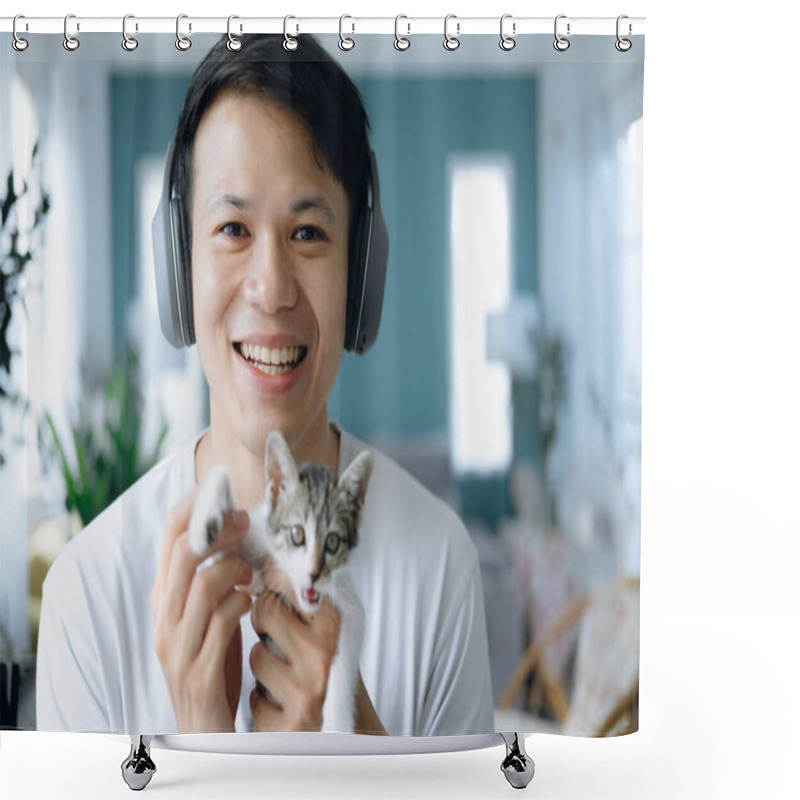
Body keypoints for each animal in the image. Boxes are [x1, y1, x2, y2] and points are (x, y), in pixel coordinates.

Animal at [188, 432, 376, 732]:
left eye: (333, 542)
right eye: (297, 534)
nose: (313, 574)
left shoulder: (350, 604)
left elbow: (345, 657)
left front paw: (338, 722)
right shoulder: (258, 542)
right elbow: (221, 474)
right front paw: (203, 525)